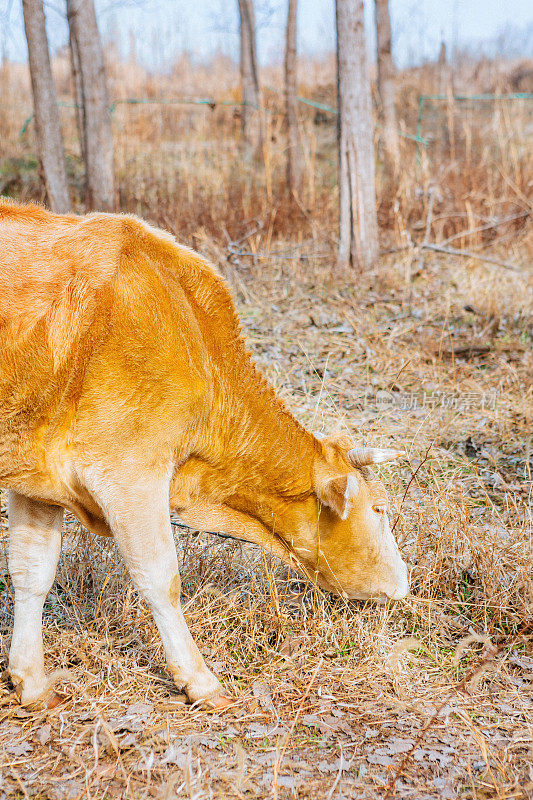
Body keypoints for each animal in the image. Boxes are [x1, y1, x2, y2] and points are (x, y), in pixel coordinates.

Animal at [1, 198, 408, 708]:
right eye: (379, 509)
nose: (405, 583)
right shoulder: (128, 472)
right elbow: (161, 577)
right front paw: (200, 680)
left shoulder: (37, 477)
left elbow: (31, 570)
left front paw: (32, 683)